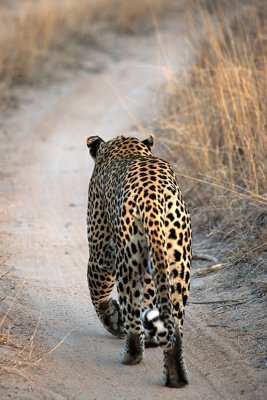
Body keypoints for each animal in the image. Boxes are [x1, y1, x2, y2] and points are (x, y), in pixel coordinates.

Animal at [87, 135, 192, 388]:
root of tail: (151, 197)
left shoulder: (100, 250)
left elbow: (98, 294)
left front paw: (112, 320)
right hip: (177, 262)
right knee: (174, 325)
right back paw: (175, 376)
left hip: (129, 260)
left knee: (133, 312)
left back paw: (130, 354)